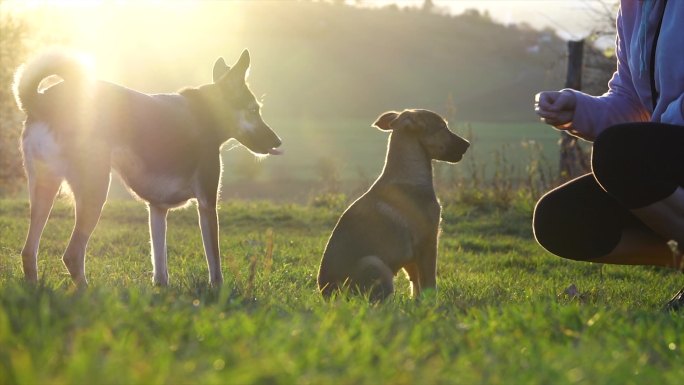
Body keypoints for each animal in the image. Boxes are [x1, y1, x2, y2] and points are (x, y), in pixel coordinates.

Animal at [13, 49, 282, 284]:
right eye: (254, 110)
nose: (278, 141)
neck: (206, 112)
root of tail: (43, 100)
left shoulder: (157, 209)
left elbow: (160, 264)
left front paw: (161, 290)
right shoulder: (207, 204)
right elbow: (214, 265)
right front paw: (218, 291)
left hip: (44, 190)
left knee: (28, 251)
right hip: (94, 192)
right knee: (72, 254)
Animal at [316, 108, 468, 300]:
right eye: (442, 127)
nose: (467, 144)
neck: (408, 173)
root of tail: (328, 295)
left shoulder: (411, 255)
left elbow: (416, 282)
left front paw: (417, 302)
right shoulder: (428, 242)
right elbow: (429, 281)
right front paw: (432, 303)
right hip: (375, 264)